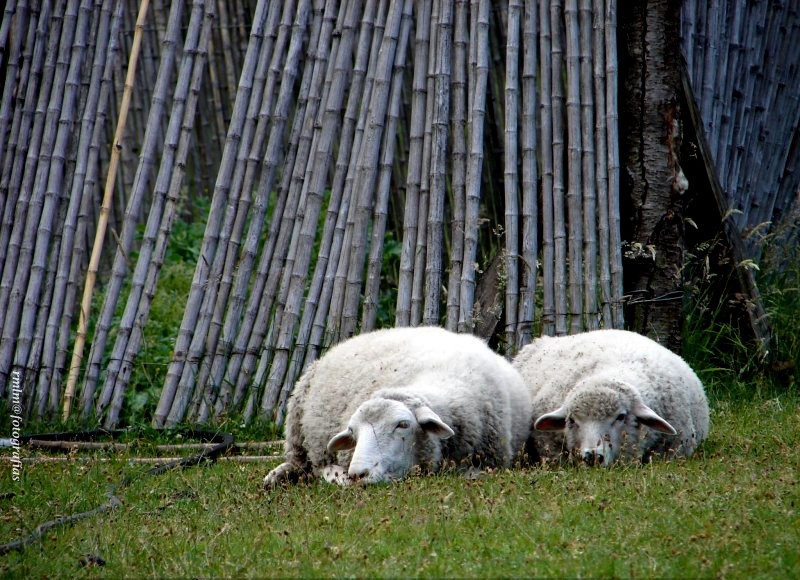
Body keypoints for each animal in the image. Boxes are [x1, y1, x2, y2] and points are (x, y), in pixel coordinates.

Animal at [266, 326, 536, 484]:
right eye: (353, 432)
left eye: (403, 425)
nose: (358, 474)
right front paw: (336, 475)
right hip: (297, 432)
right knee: (299, 465)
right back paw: (277, 477)